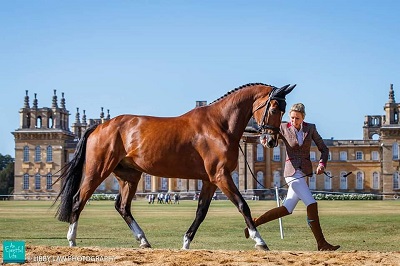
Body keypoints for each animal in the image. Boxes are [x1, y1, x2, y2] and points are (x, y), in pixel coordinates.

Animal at [54, 83, 294, 251]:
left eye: (284, 110)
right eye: (274, 107)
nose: (271, 141)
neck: (220, 123)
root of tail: (100, 125)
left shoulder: (210, 179)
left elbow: (201, 211)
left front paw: (186, 241)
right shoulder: (221, 175)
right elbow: (243, 205)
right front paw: (259, 240)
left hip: (129, 175)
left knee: (122, 207)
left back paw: (143, 240)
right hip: (98, 169)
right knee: (78, 199)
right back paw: (72, 240)